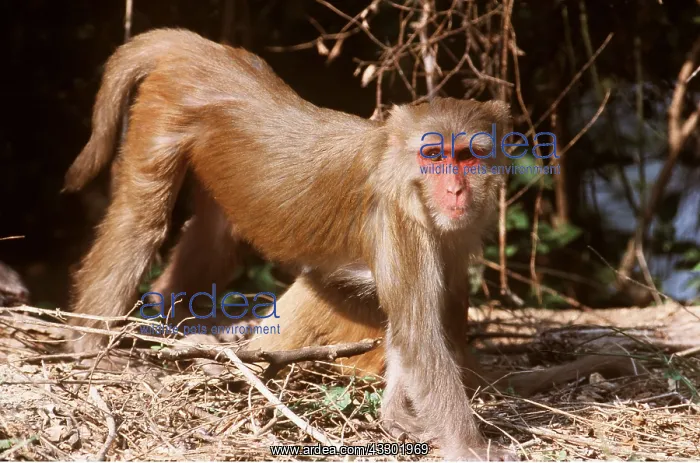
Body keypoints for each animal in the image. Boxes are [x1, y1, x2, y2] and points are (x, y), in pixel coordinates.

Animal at [64, 29, 635, 460]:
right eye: (435, 156)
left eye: (468, 157)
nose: (454, 190)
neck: (403, 170)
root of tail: (200, 48)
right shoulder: (400, 220)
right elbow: (421, 334)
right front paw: (471, 448)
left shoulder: (448, 231)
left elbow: (418, 324)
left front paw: (399, 416)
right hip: (168, 106)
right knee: (141, 220)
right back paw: (95, 348)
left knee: (217, 235)